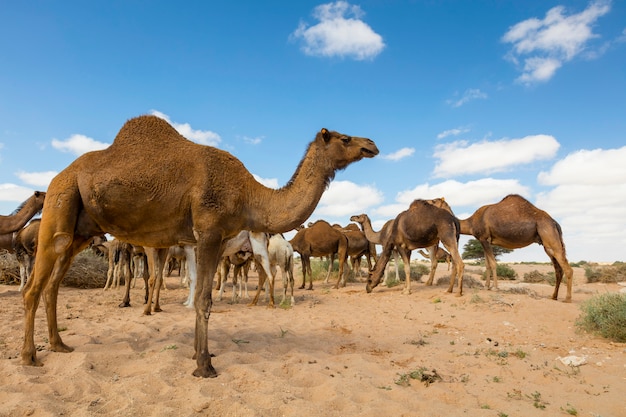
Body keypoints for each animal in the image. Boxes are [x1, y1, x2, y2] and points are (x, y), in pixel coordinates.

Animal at [19, 114, 378, 376]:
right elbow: (203, 298)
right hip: (59, 205)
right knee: (35, 288)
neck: (249, 195)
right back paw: (30, 356)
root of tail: (59, 176)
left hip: (78, 232)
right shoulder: (208, 231)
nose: (372, 144)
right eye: (345, 138)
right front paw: (205, 366)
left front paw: (198, 353)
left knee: (53, 286)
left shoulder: (217, 241)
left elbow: (205, 292)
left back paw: (60, 345)